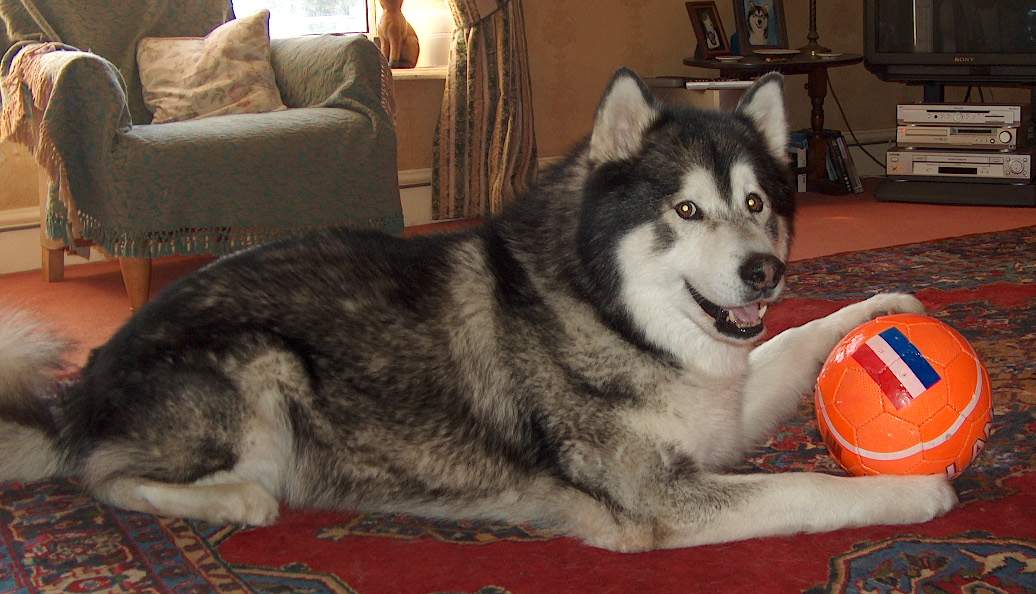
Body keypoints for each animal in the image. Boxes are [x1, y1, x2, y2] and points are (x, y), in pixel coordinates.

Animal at [0, 70, 953, 551]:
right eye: (686, 210)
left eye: (756, 203)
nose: (763, 272)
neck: (609, 315)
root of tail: (84, 385)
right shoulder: (659, 501)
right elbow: (811, 489)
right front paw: (915, 491)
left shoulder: (724, 404)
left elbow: (793, 341)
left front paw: (882, 305)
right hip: (259, 367)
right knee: (105, 475)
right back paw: (238, 501)